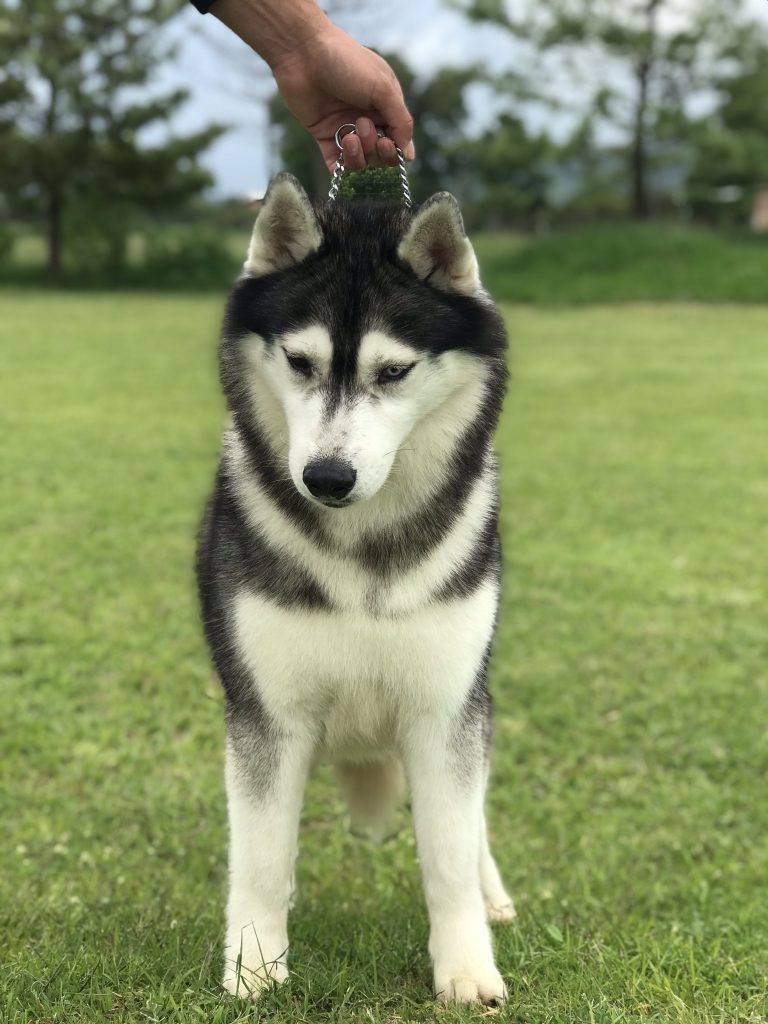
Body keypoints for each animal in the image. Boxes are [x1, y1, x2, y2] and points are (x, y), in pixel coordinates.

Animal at [195, 172, 514, 1003]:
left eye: (393, 372)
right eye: (299, 362)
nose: (327, 478)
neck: (363, 545)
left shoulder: (445, 709)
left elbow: (449, 853)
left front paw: (467, 970)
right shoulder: (267, 715)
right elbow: (262, 860)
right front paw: (254, 968)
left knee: (475, 822)